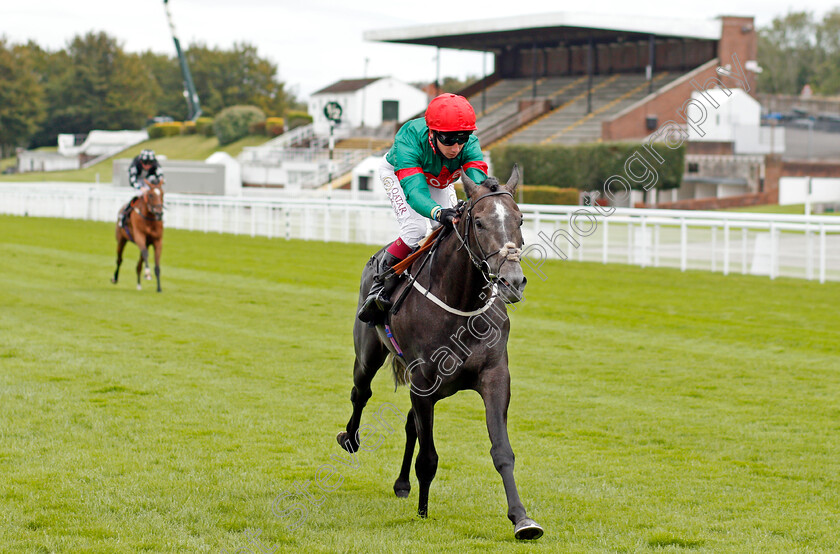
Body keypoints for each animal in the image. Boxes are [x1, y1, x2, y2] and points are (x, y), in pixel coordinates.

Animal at [336, 166, 544, 536]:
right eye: (479, 222)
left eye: (520, 219)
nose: (512, 281)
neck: (461, 304)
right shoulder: (423, 383)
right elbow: (428, 457)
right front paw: (423, 511)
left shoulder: (494, 377)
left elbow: (502, 450)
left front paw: (522, 519)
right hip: (368, 352)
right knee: (361, 392)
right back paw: (350, 438)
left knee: (409, 424)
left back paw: (402, 483)